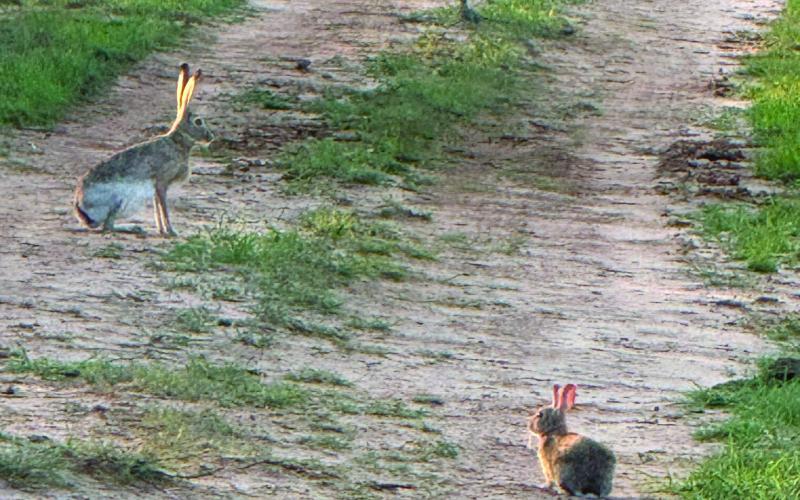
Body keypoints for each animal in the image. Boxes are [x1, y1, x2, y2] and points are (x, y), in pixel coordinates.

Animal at [73, 63, 214, 236]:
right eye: (198, 122)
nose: (211, 137)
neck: (177, 142)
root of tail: (81, 209)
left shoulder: (155, 187)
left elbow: (157, 207)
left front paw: (161, 230)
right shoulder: (161, 181)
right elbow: (163, 206)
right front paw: (171, 231)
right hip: (117, 201)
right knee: (108, 226)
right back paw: (134, 228)